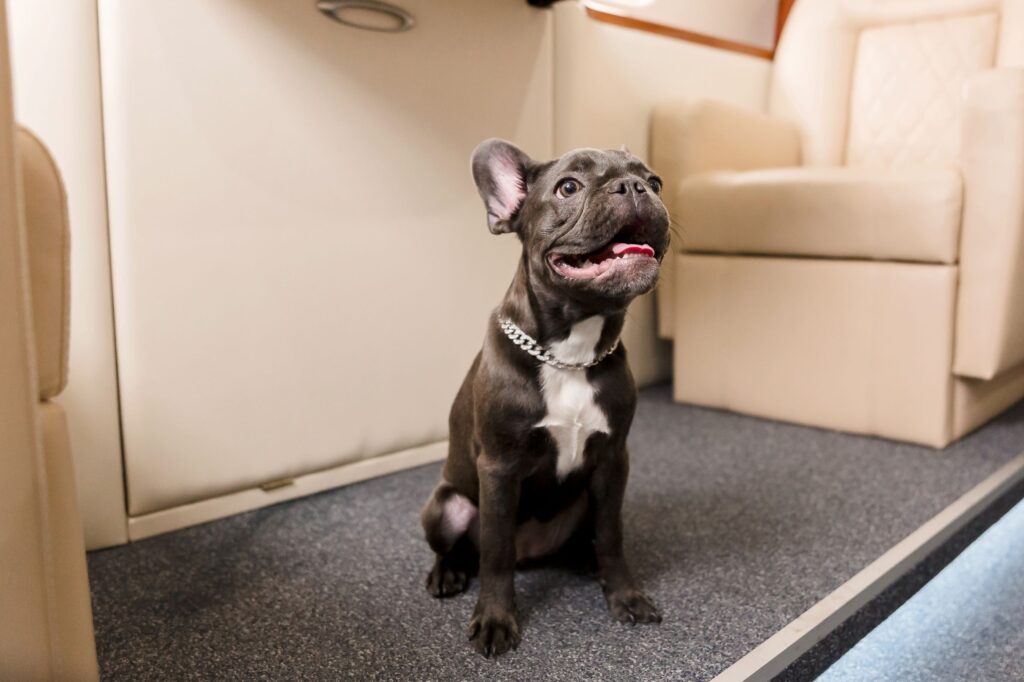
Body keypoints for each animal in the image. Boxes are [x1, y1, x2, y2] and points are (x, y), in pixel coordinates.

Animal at [419, 138, 667, 655]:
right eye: (568, 187)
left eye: (655, 182)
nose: (632, 187)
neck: (570, 354)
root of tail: (532, 555)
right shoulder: (498, 468)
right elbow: (496, 553)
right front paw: (495, 619)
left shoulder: (613, 460)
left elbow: (612, 536)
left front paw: (625, 595)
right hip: (445, 505)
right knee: (462, 548)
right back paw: (447, 573)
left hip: (586, 500)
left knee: (591, 536)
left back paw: (586, 562)